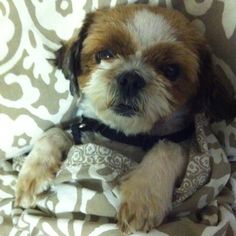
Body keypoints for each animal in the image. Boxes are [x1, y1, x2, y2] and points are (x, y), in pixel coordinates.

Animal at [15, 4, 236, 234]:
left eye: (171, 70)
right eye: (104, 54)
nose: (131, 78)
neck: (124, 135)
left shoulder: (191, 148)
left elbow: (167, 148)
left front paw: (142, 197)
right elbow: (54, 132)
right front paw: (32, 174)